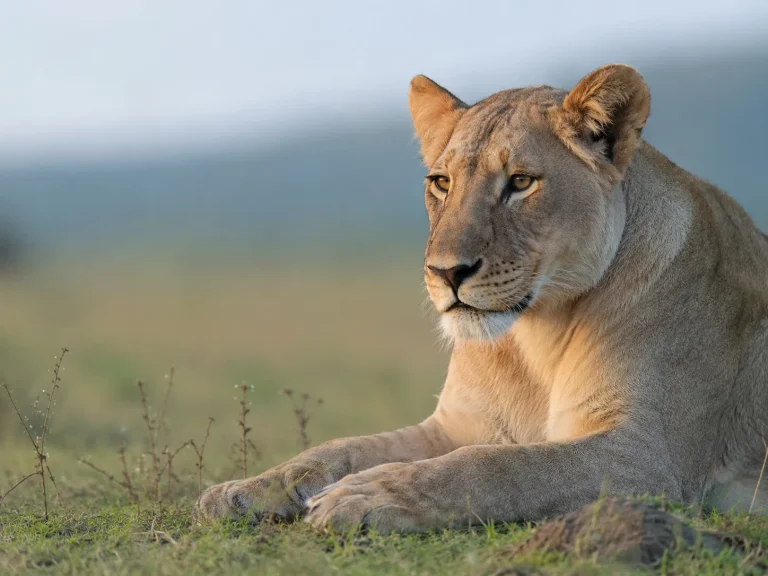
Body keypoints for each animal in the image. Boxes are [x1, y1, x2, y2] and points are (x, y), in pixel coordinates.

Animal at [195, 64, 768, 533]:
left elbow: (498, 466)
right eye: (441, 182)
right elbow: (341, 449)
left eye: (521, 182)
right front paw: (245, 490)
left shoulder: (646, 459)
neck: (540, 333)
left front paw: (368, 495)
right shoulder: (454, 425)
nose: (447, 272)